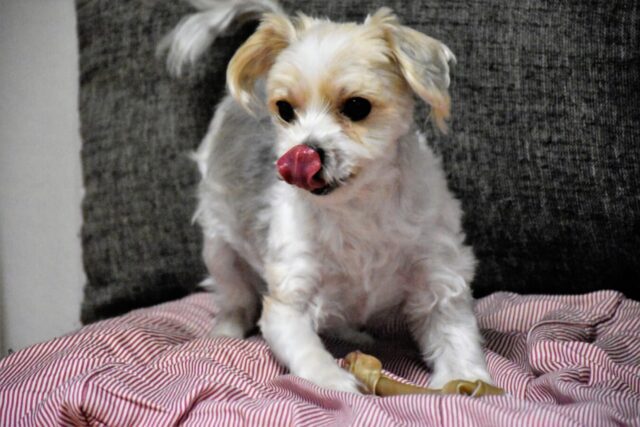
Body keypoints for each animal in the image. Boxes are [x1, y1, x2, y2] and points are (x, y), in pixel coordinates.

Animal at [160, 0, 490, 394]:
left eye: (358, 107)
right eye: (285, 110)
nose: (303, 153)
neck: (357, 207)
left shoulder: (439, 277)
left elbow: (455, 336)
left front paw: (466, 379)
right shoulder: (289, 292)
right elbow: (304, 348)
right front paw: (336, 382)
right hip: (219, 245)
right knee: (234, 295)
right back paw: (226, 331)